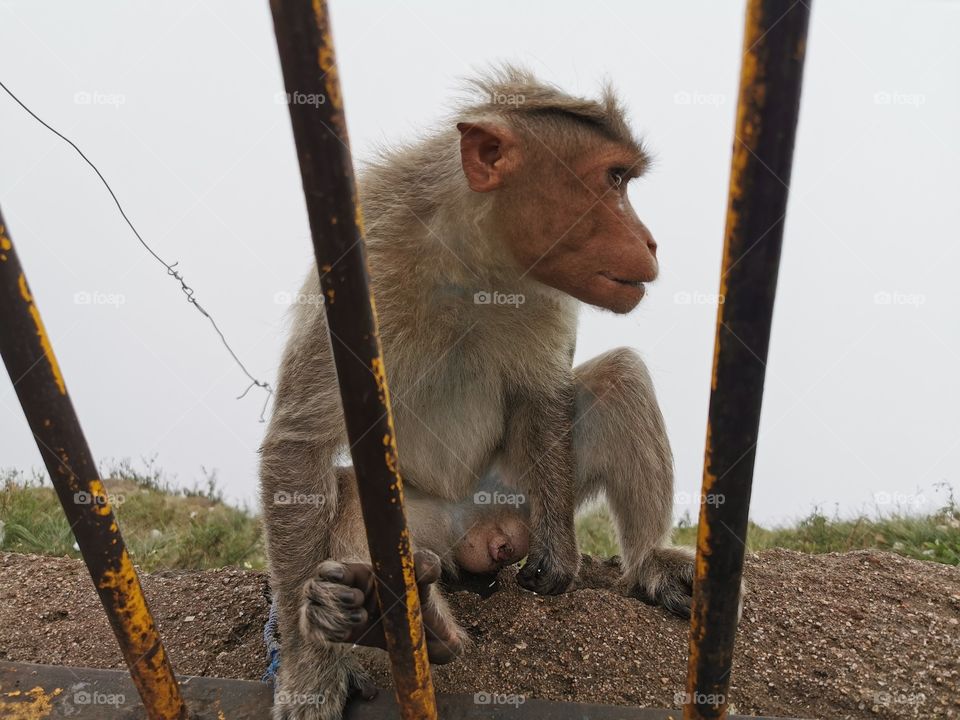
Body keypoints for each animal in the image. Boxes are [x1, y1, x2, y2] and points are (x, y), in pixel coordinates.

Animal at [260, 66, 701, 720]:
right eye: (613, 180)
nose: (649, 243)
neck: (472, 255)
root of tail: (474, 533)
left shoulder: (544, 292)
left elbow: (543, 396)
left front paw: (560, 554)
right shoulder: (360, 266)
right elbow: (300, 444)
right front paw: (309, 670)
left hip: (513, 493)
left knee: (620, 378)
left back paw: (649, 564)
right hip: (424, 529)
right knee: (352, 494)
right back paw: (397, 623)